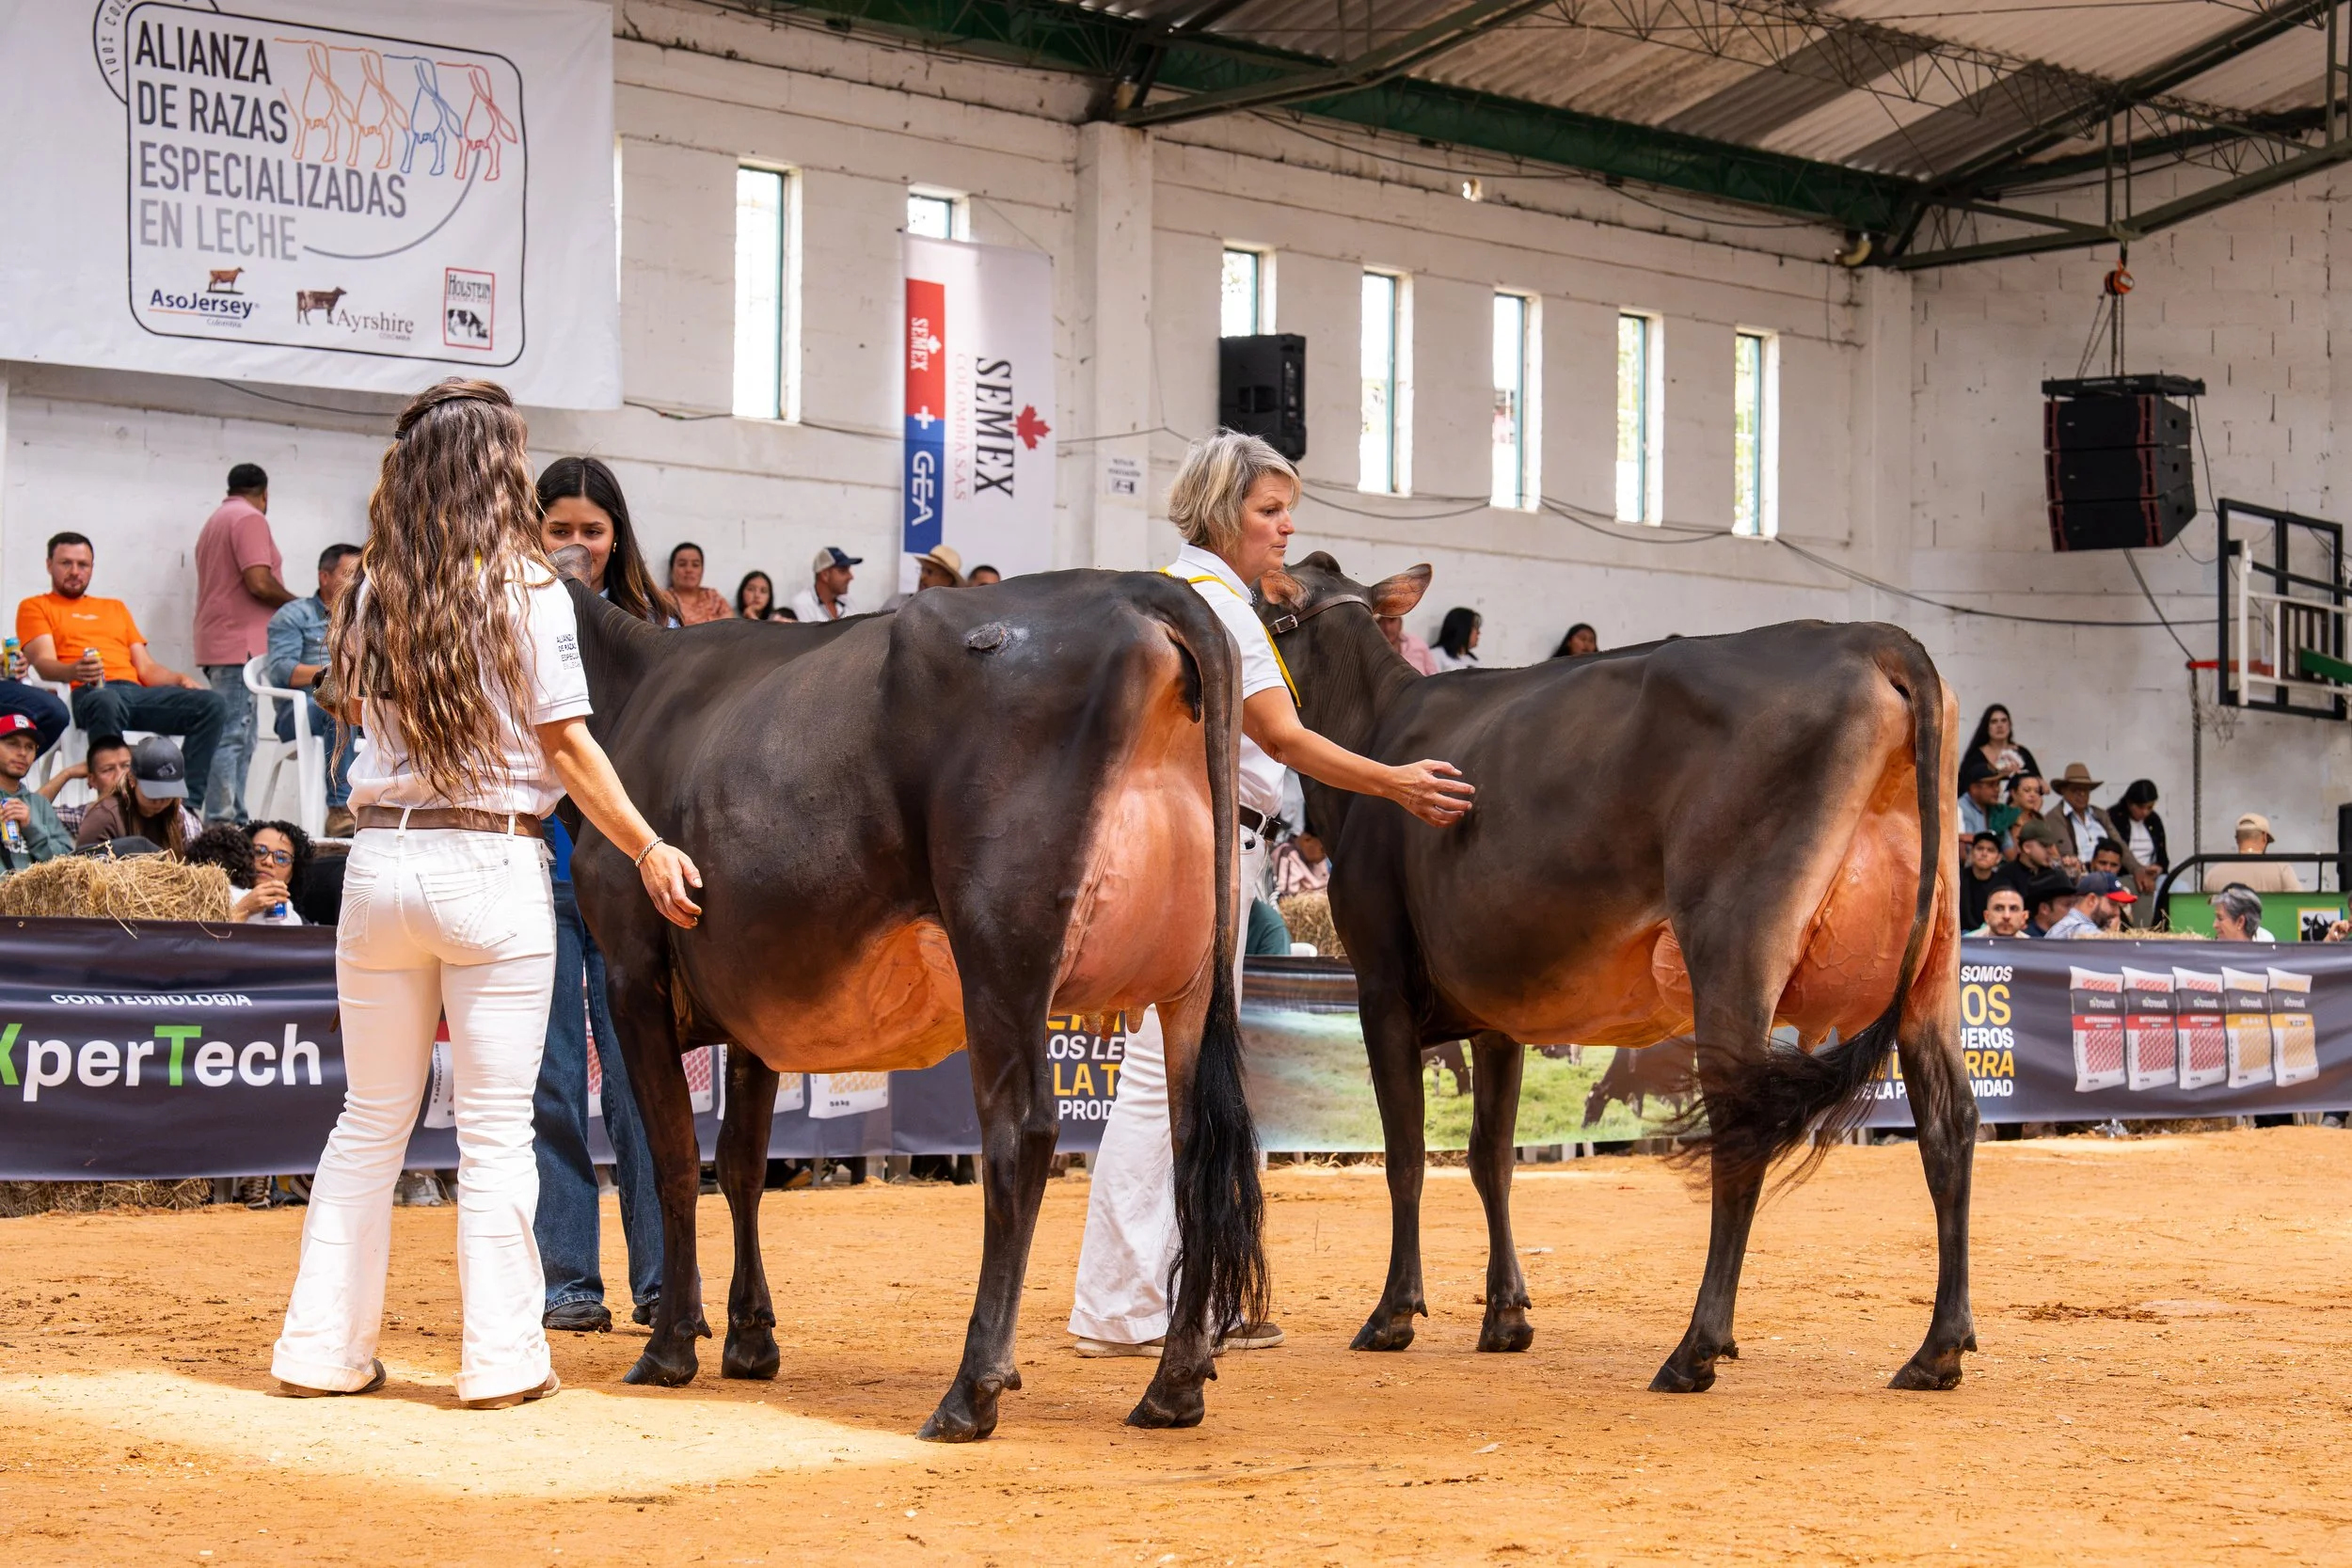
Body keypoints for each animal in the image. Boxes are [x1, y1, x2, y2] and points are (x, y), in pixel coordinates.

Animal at [558, 563, 1267, 1441]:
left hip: (1001, 951)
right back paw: (1173, 1384)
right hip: (1193, 977)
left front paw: (670, 1347)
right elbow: (744, 1160)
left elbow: (677, 1160)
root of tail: (1136, 586)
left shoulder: (631, 971)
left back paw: (971, 1390)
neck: (626, 696)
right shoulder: (757, 1001)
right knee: (1193, 1139)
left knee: (1021, 1133)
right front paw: (751, 1337)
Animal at [1255, 553, 1971, 1396]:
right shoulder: (1501, 1012)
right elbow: (1490, 1156)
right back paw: (1937, 1349)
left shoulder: (1381, 983)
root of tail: (1875, 636)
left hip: (1734, 942)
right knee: (1950, 1125)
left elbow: (1407, 1154)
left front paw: (1394, 1312)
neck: (1372, 725)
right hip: (1934, 962)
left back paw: (1695, 1348)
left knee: (1744, 1126)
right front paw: (1506, 1315)